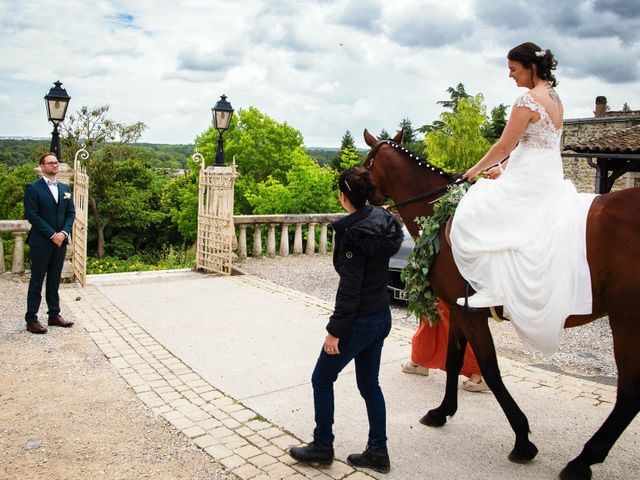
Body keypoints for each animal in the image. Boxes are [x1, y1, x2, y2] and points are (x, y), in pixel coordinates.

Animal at [362, 128, 636, 480]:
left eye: (367, 163)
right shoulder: (459, 309)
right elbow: (453, 359)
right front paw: (442, 411)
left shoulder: (471, 314)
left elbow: (490, 369)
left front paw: (522, 439)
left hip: (626, 319)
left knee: (629, 393)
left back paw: (582, 460)